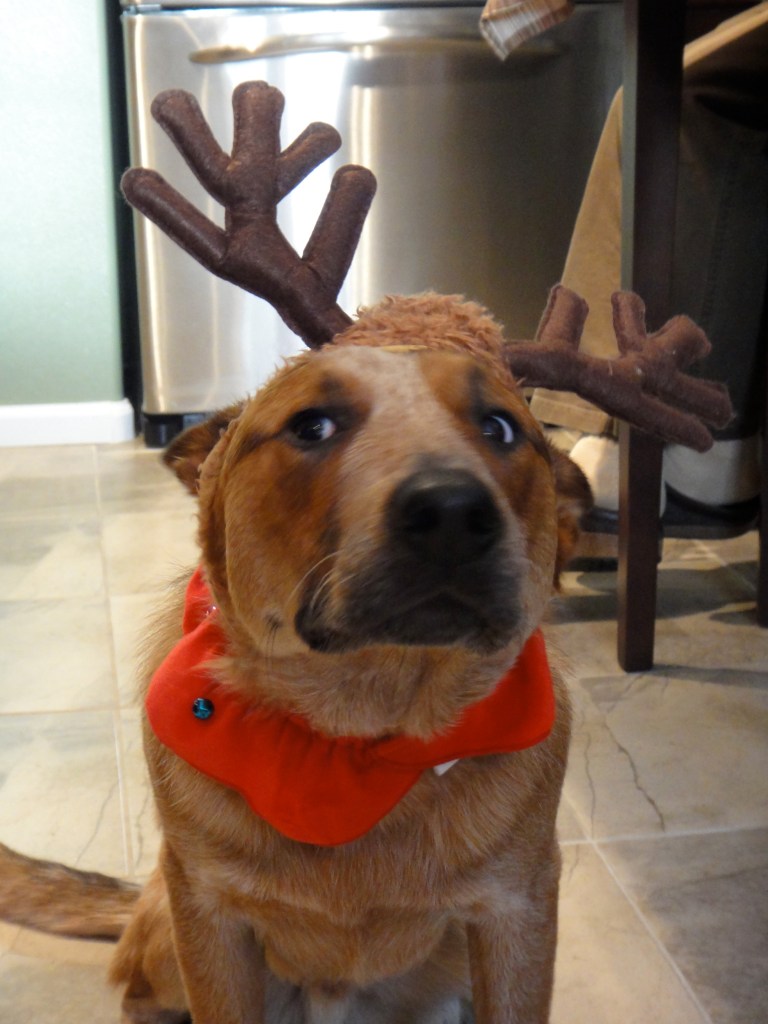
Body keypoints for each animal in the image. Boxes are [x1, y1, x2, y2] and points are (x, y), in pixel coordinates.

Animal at [0, 293, 591, 1024]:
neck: (358, 738)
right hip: (168, 930)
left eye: (501, 427)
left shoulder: (518, 912)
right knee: (134, 985)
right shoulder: (209, 917)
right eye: (313, 425)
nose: (453, 513)